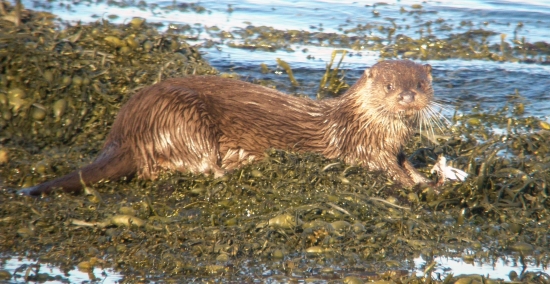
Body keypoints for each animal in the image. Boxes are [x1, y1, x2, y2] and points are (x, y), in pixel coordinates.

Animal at [19, 60, 438, 196]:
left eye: (420, 84)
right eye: (389, 86)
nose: (407, 97)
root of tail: (125, 131)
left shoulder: (395, 149)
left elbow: (406, 166)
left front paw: (428, 179)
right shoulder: (364, 149)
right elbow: (386, 172)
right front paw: (418, 187)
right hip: (182, 117)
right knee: (197, 165)